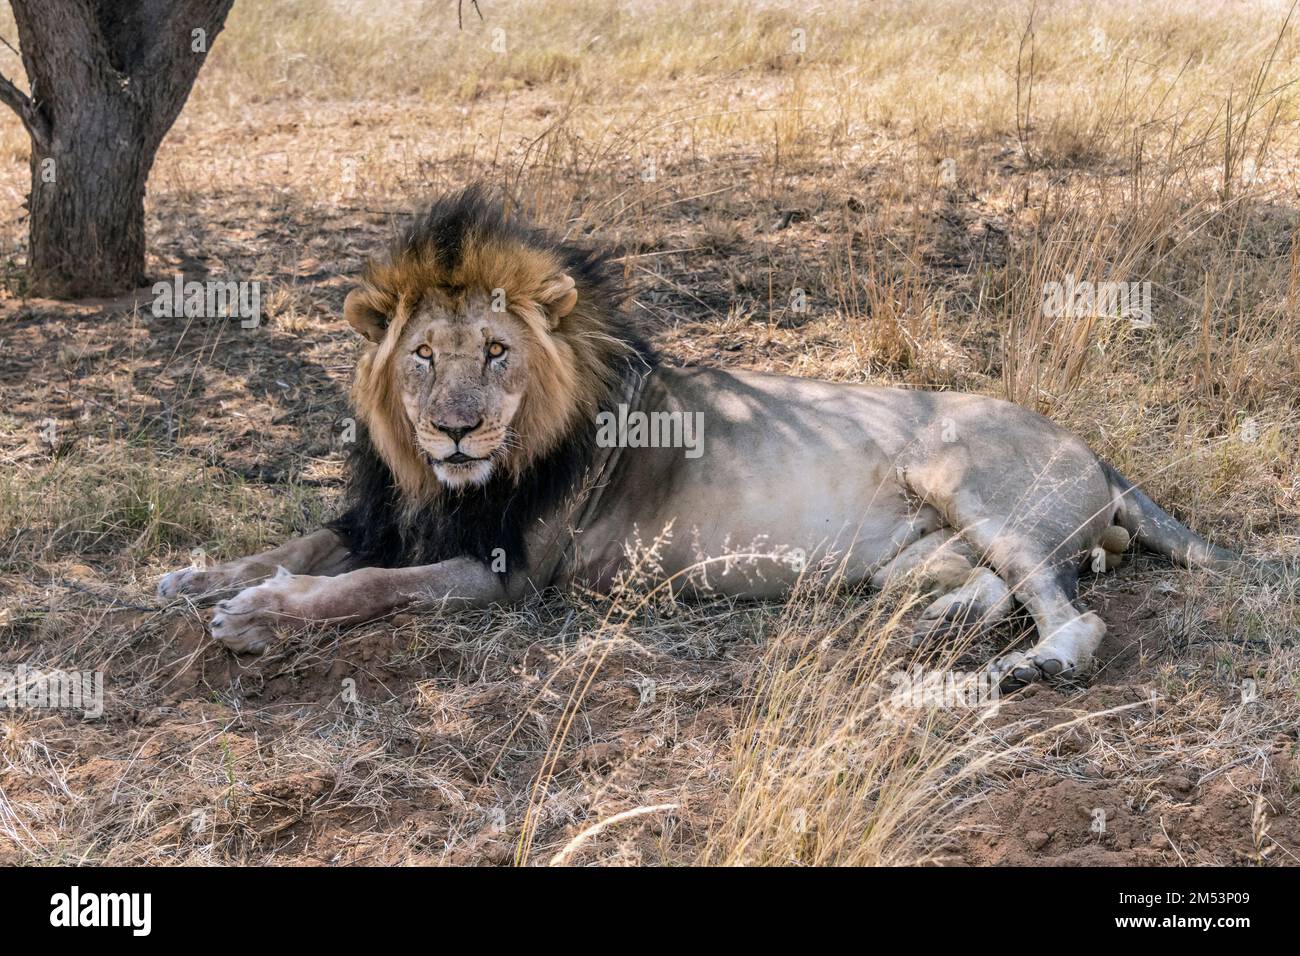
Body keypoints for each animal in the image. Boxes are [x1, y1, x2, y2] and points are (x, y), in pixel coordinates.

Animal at [159, 184, 1248, 686]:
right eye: (423, 356)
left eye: (498, 353)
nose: (455, 429)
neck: (448, 482)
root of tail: (1097, 451)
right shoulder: (396, 511)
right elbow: (311, 538)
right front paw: (195, 576)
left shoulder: (509, 574)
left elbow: (368, 585)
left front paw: (259, 612)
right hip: (917, 550)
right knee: (994, 586)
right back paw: (931, 624)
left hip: (962, 474)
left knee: (1070, 611)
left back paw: (1031, 665)